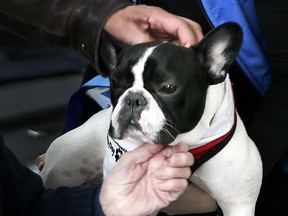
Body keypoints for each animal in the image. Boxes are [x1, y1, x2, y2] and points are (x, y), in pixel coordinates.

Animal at [40, 22, 264, 215]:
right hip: (61, 168)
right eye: (115, 82)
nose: (133, 98)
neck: (186, 143)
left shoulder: (239, 204)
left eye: (168, 87)